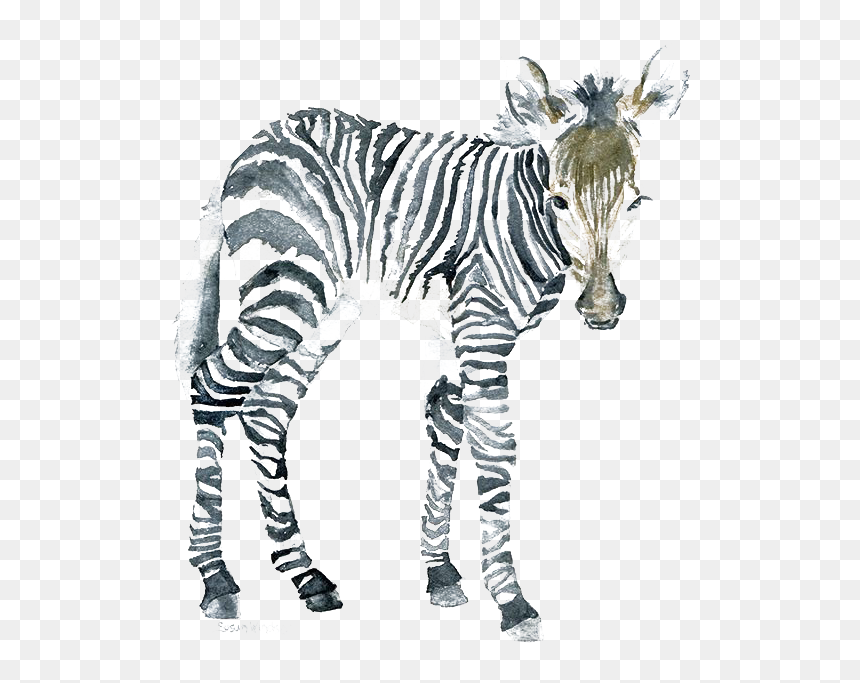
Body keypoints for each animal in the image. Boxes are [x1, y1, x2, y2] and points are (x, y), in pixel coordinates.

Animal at [176, 51, 687, 640]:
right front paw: (511, 601)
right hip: (285, 292)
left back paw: (305, 576)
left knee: (266, 413)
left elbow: (445, 423)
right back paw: (215, 579)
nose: (602, 310)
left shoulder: (465, 334)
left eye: (635, 202)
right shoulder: (483, 329)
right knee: (211, 388)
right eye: (559, 199)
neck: (528, 218)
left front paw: (440, 573)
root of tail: (251, 145)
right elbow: (495, 452)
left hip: (324, 310)